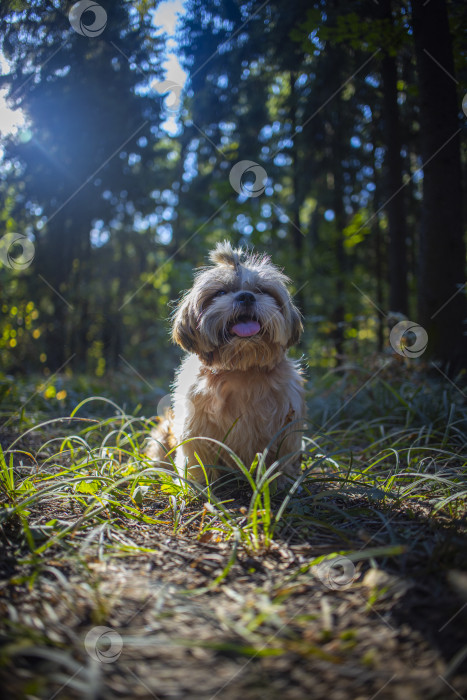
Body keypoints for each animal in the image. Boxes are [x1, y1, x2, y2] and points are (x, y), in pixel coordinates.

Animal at [147, 241, 308, 486]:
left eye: (261, 291)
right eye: (221, 292)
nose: (246, 296)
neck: (241, 369)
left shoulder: (285, 426)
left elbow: (281, 457)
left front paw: (280, 482)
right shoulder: (195, 428)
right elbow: (196, 460)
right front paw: (198, 484)